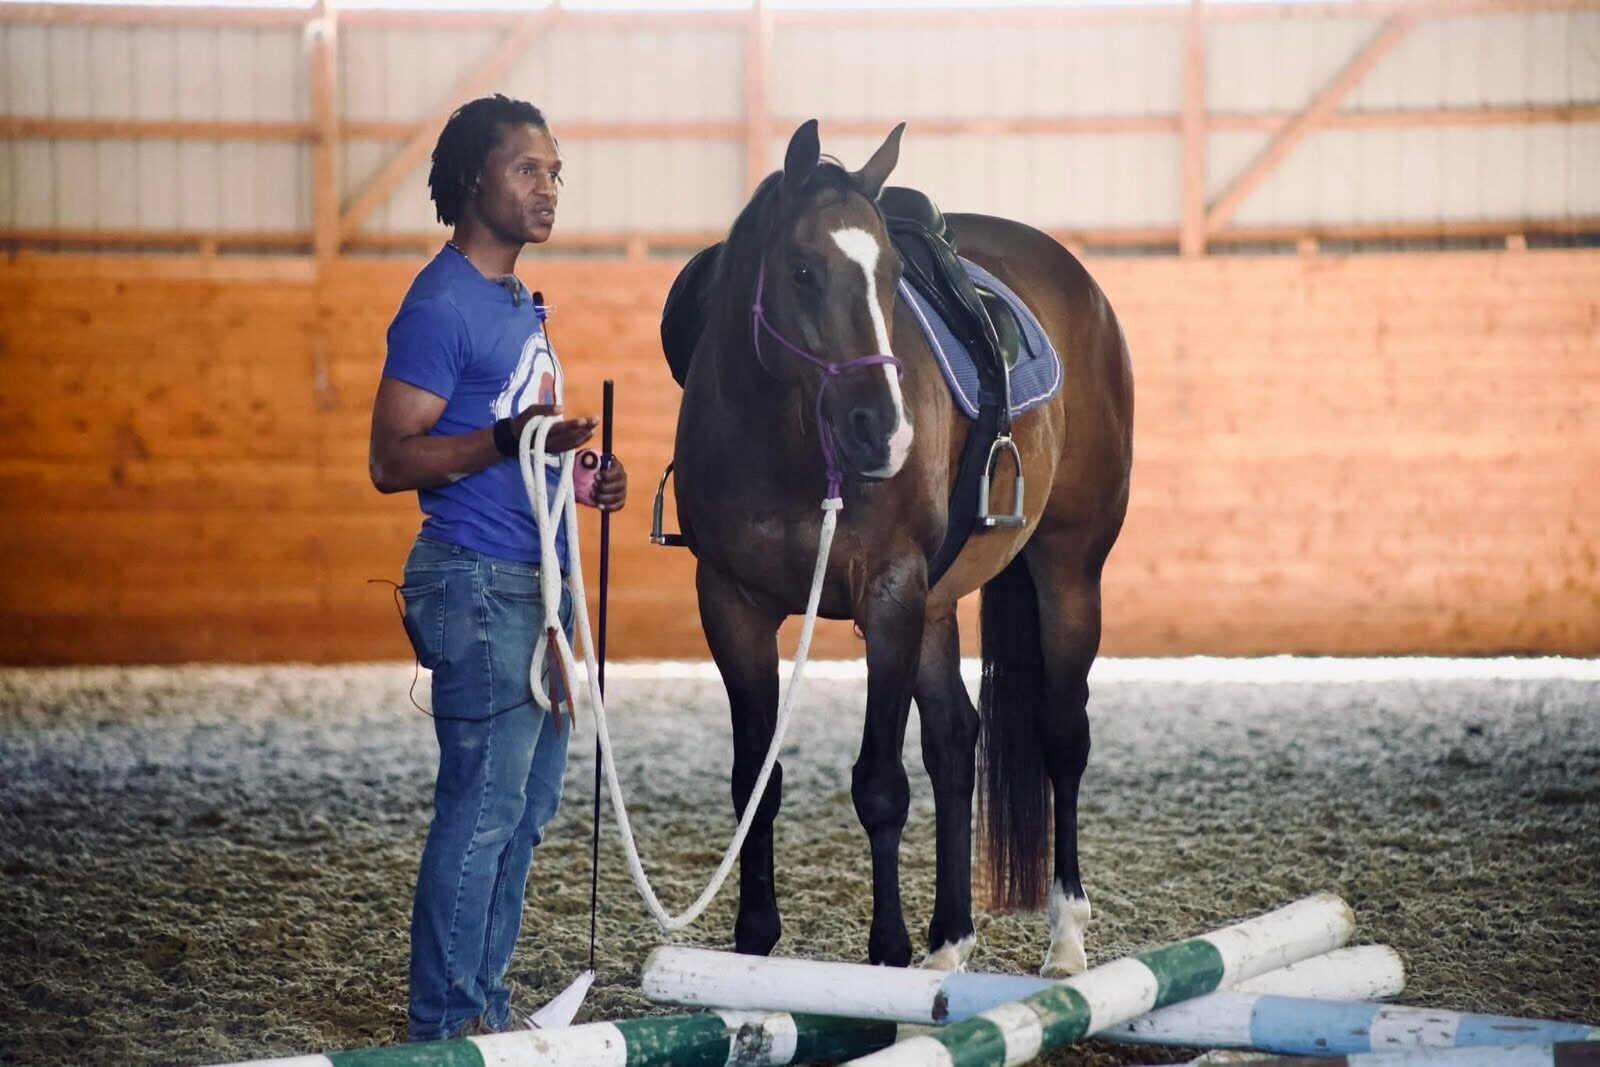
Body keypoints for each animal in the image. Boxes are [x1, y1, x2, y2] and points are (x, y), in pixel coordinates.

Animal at [664, 119, 1134, 975]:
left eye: (889, 279)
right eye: (803, 270)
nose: (881, 428)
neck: (787, 444)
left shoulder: (888, 595)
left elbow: (880, 783)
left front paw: (886, 945)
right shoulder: (730, 604)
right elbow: (756, 781)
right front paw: (754, 941)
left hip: (1067, 572)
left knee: (1061, 734)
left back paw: (1065, 935)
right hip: (939, 602)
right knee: (955, 739)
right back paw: (950, 939)